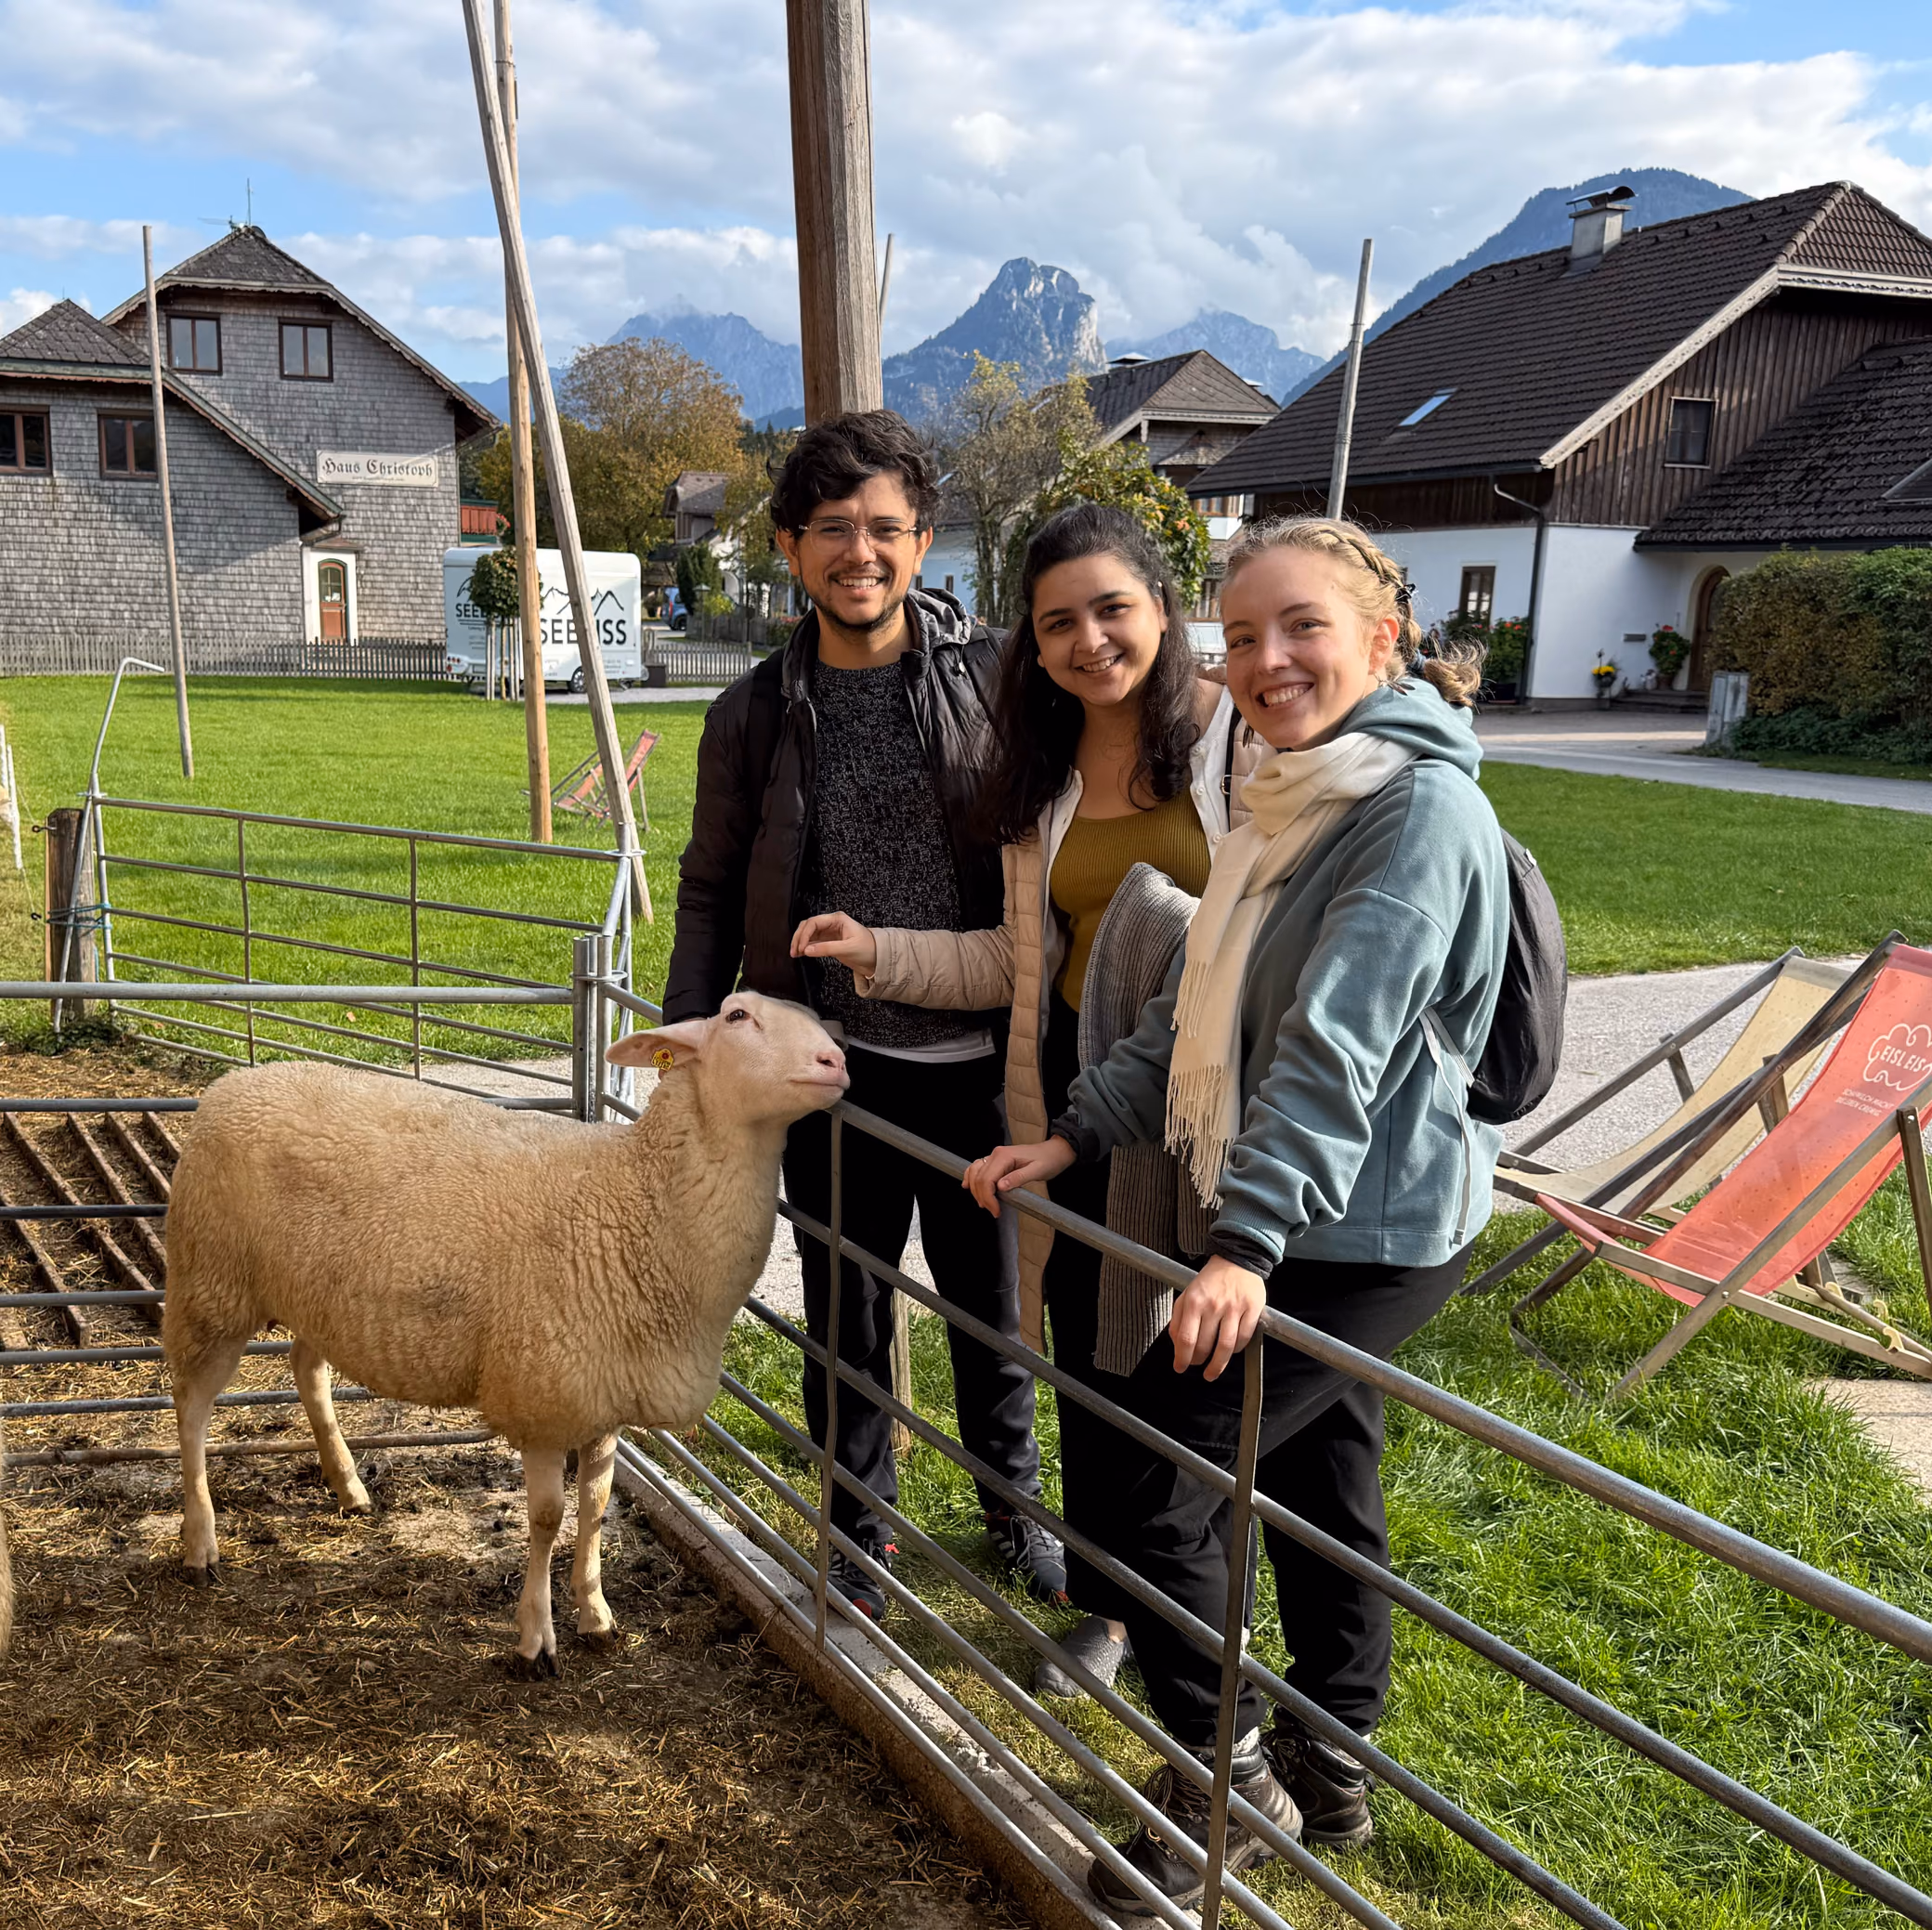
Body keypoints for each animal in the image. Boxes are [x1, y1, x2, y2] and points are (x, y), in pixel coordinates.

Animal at [162, 991, 846, 1674]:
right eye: (738, 1017)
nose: (835, 1062)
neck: (639, 1201)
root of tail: (235, 1082)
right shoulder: (541, 1395)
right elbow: (546, 1518)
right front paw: (535, 1637)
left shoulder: (602, 1396)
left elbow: (596, 1507)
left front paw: (596, 1614)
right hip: (211, 1280)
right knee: (191, 1409)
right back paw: (200, 1542)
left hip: (317, 1295)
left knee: (307, 1369)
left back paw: (348, 1485)